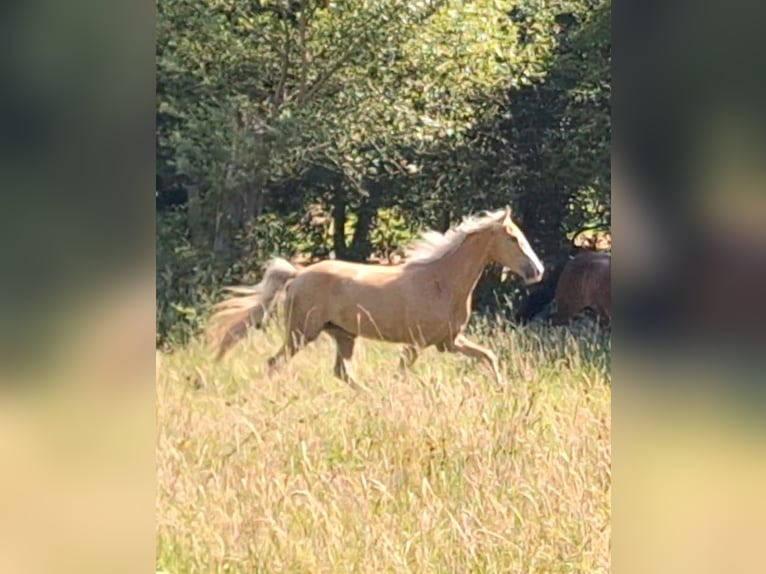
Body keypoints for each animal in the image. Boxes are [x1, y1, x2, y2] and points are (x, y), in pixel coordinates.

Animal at [207, 207, 544, 387]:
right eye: (512, 237)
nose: (537, 271)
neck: (440, 281)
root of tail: (297, 274)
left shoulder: (449, 342)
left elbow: (489, 356)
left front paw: (501, 388)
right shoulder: (417, 343)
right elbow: (402, 372)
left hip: (343, 335)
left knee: (341, 372)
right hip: (301, 333)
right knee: (274, 362)